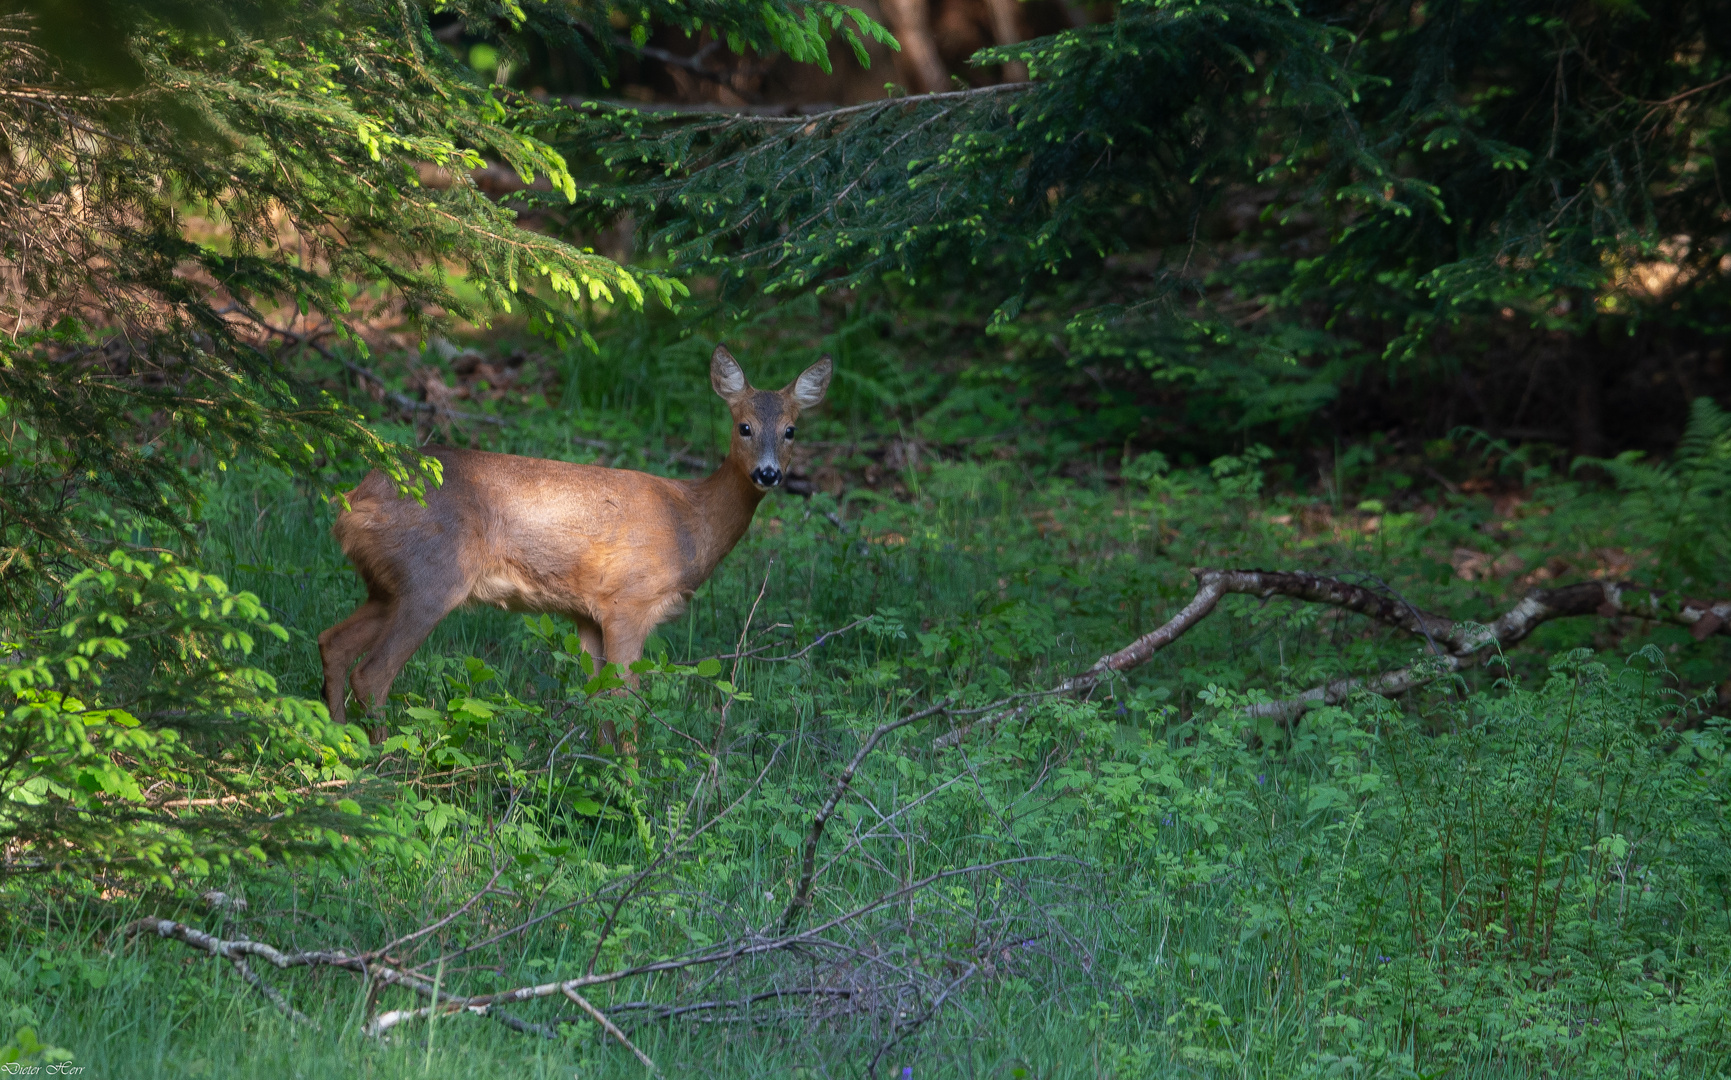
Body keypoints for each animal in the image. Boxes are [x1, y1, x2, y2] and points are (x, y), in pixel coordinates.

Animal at [320, 346, 830, 740]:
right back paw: (385, 762)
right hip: (432, 578)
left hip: (388, 585)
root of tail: (355, 503)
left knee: (332, 642)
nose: (769, 473)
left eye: (790, 430)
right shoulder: (629, 603)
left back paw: (341, 744)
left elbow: (599, 702)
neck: (690, 521)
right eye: (744, 426)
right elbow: (625, 702)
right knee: (373, 674)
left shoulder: (588, 613)